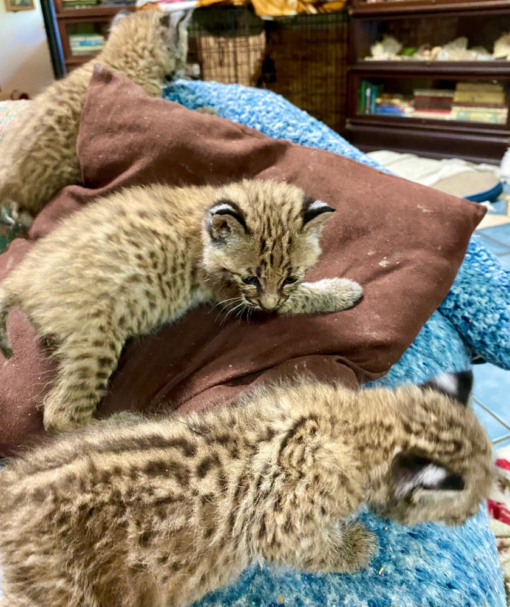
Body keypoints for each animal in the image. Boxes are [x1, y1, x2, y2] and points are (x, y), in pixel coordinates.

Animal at [0, 178, 362, 434]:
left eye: (289, 277)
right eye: (251, 279)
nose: (270, 304)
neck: (204, 220)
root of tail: (22, 276)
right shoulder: (231, 293)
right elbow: (300, 299)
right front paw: (344, 290)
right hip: (98, 334)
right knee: (59, 414)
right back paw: (124, 423)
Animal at [0, 370, 494, 607]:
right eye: (466, 513)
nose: (469, 521)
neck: (354, 424)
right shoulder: (281, 527)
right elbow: (320, 548)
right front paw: (356, 544)